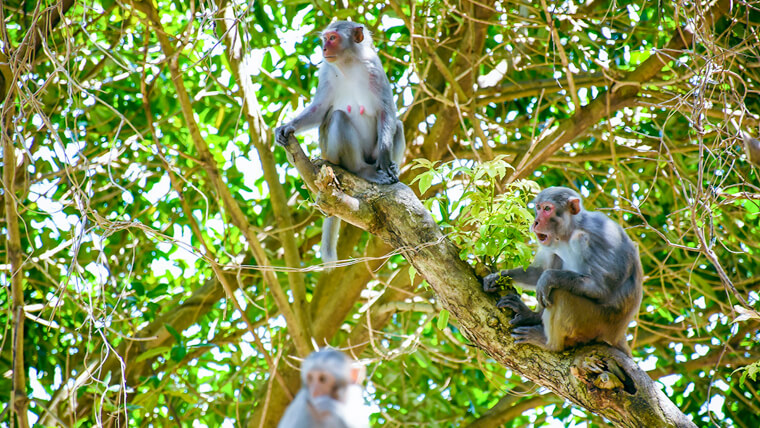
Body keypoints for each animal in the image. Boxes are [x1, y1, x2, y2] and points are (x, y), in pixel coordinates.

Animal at [274, 20, 404, 264]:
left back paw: (389, 167)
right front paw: (287, 127)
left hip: (370, 153)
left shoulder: (375, 68)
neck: (349, 64)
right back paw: (361, 170)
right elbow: (320, 110)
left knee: (398, 125)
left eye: (332, 38)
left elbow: (387, 112)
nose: (324, 49)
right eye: (325, 39)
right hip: (331, 154)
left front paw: (386, 161)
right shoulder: (325, 71)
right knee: (338, 118)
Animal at [480, 186, 640, 354]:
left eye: (547, 209)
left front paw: (549, 277)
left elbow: (602, 289)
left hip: (596, 323)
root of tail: (617, 335)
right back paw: (532, 316)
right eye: (538, 208)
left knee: (559, 294)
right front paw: (498, 277)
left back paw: (549, 343)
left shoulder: (600, 235)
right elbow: (539, 271)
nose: (535, 222)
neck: (569, 232)